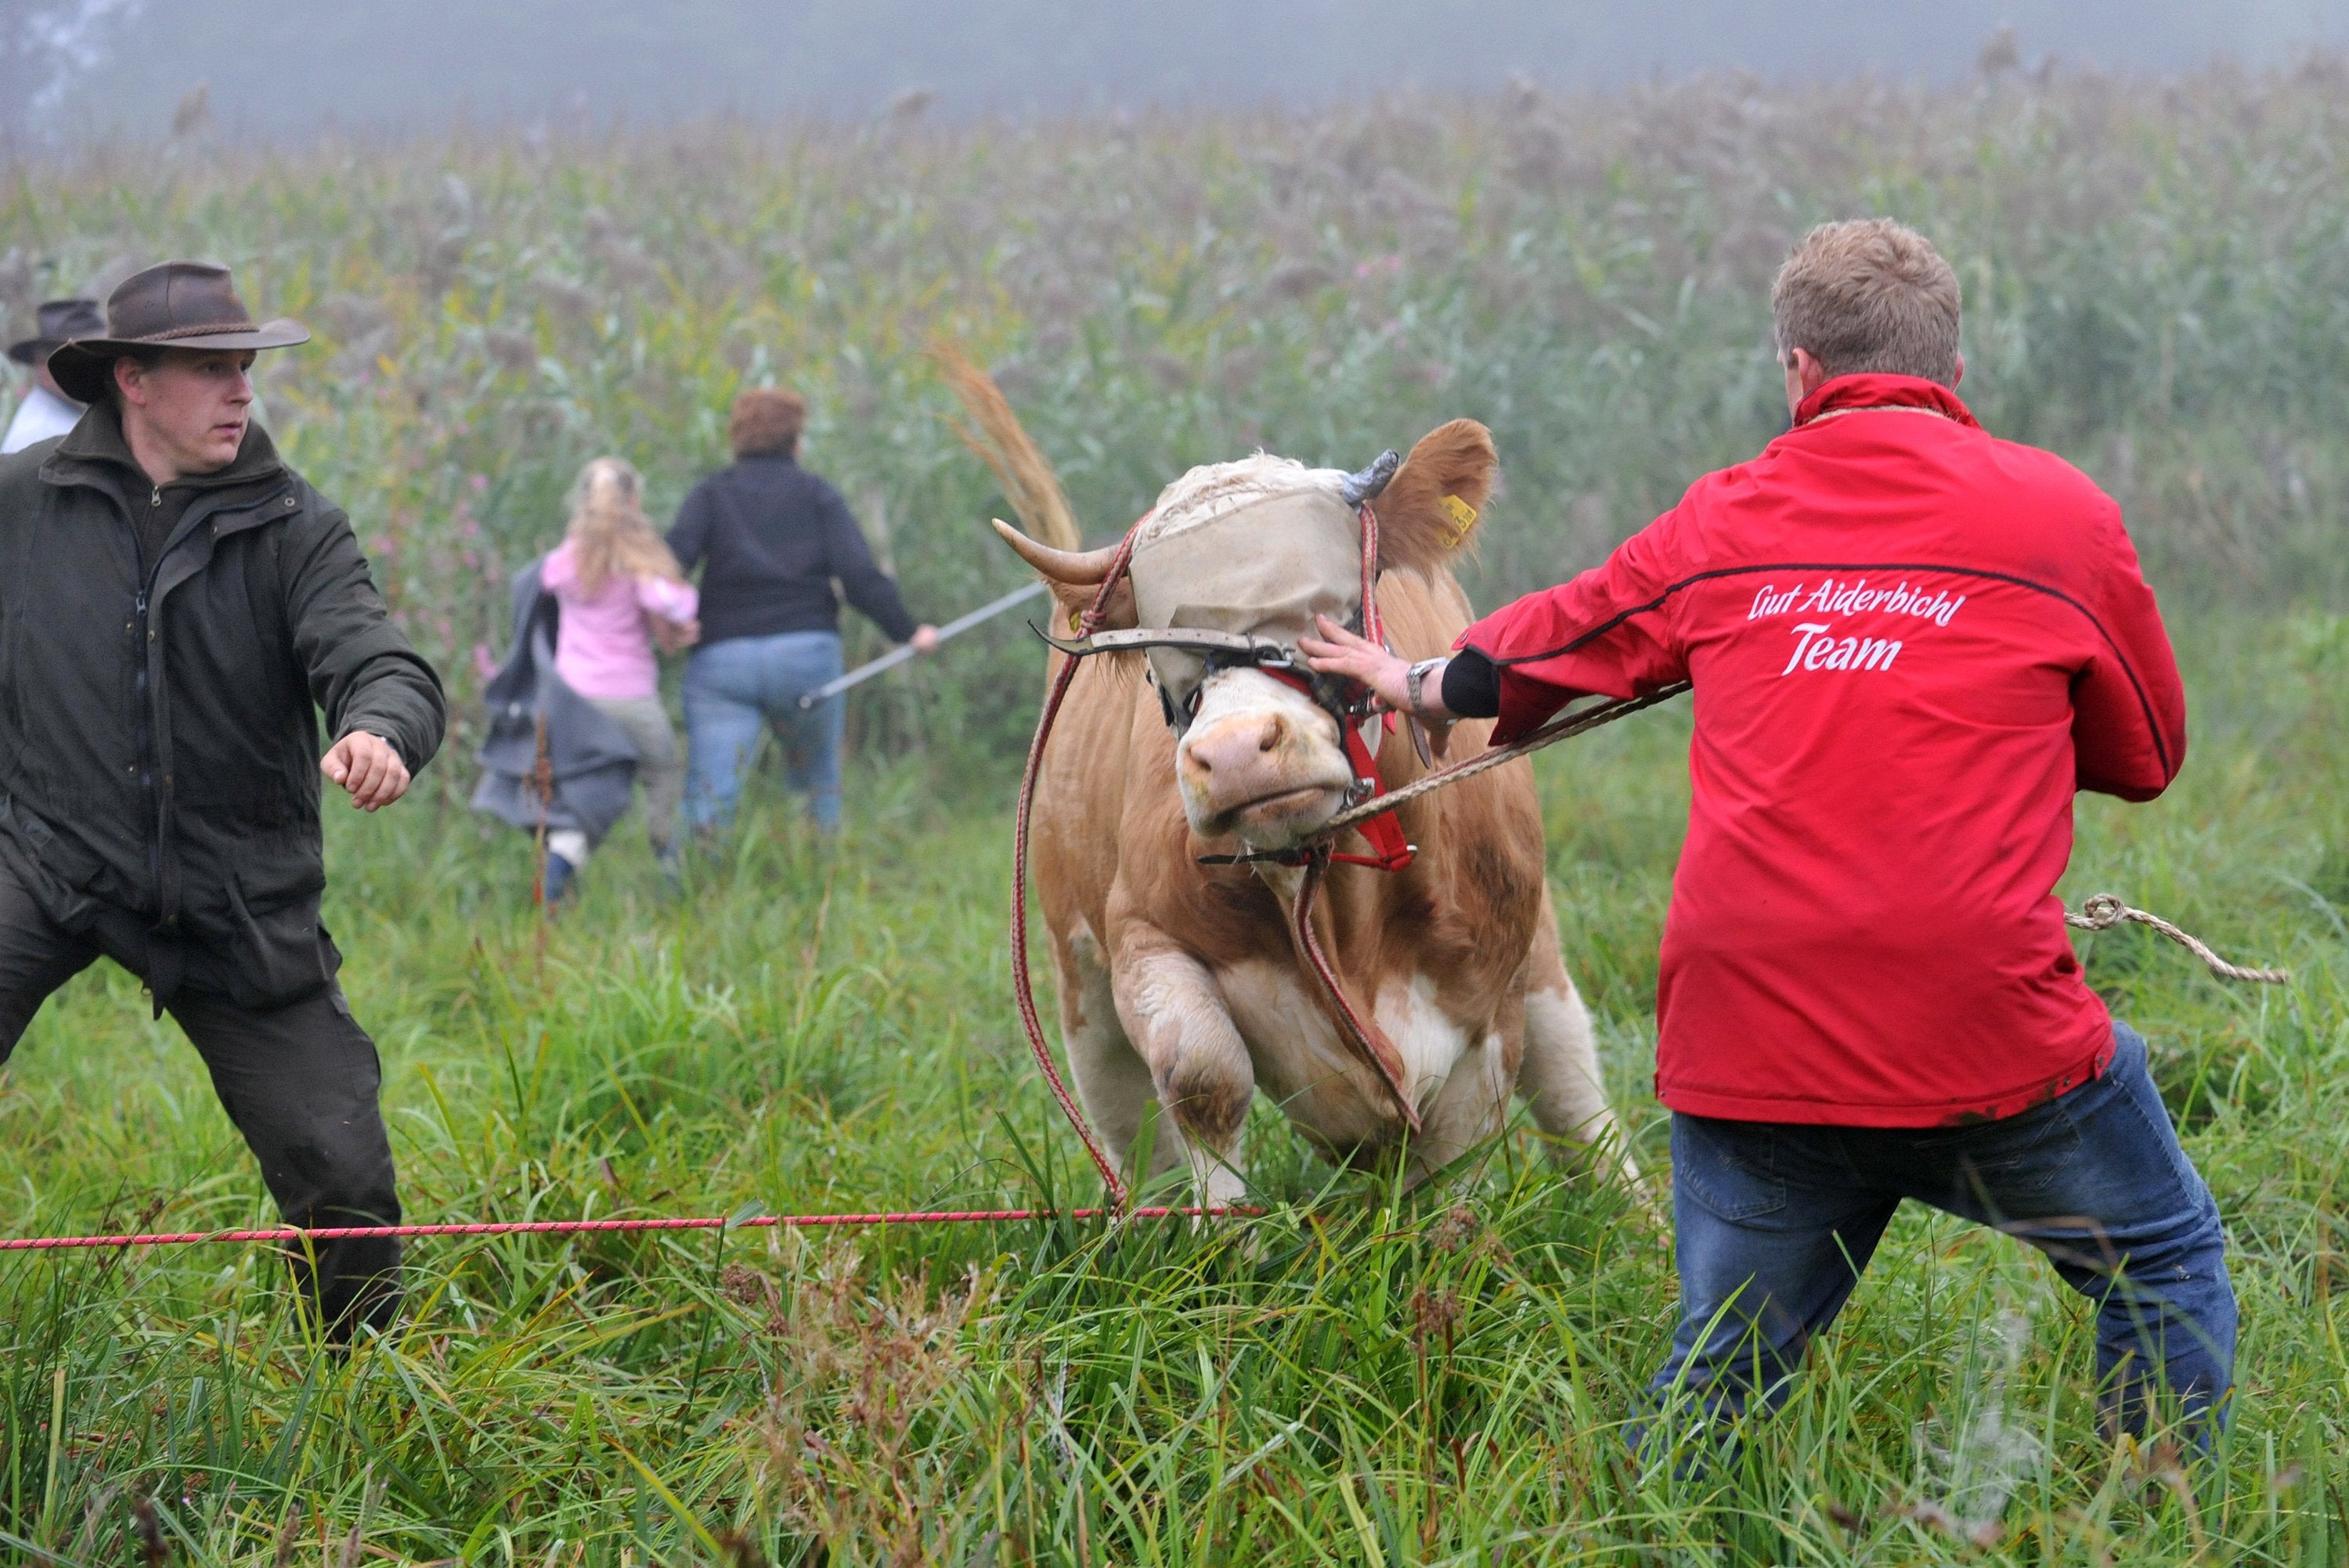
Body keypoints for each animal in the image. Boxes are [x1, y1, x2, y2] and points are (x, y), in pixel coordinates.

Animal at [991, 415, 1635, 1202]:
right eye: (1157, 653)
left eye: (1322, 612)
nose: (1236, 751)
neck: (1341, 912)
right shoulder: (1143, 929)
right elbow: (1203, 1075)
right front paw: (1222, 1236)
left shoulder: (1488, 1004)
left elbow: (1456, 1160)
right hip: (1078, 969)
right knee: (1135, 1134)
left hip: (1537, 953)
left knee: (1573, 1088)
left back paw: (1633, 1207)